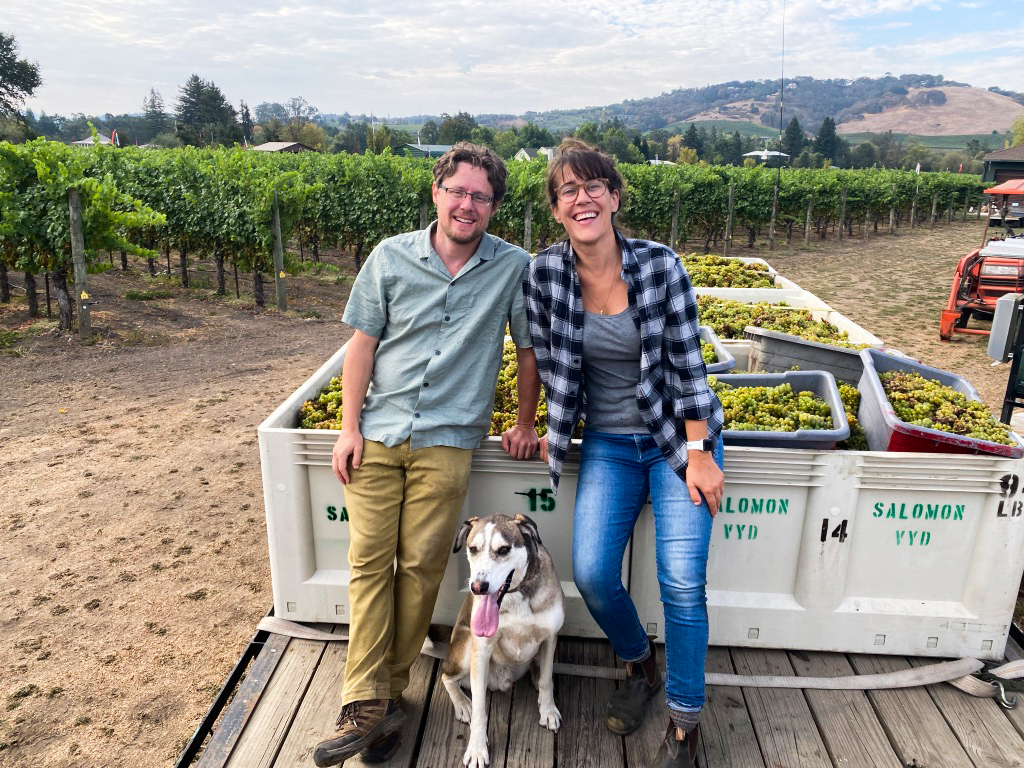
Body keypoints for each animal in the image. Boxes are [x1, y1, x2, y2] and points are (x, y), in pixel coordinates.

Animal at [442, 514, 565, 768]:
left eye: (504, 549)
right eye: (473, 549)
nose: (478, 587)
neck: (516, 595)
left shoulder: (550, 638)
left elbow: (547, 680)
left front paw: (548, 709)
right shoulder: (480, 649)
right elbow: (480, 708)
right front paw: (477, 749)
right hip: (465, 647)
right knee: (446, 676)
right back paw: (463, 704)